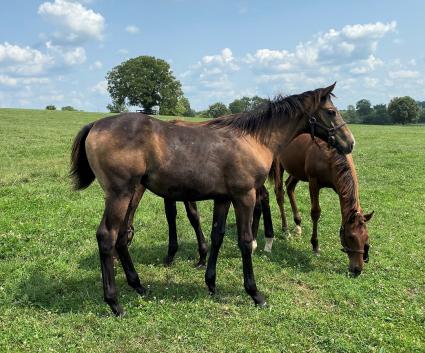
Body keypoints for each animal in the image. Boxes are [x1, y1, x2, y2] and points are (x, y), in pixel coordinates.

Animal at [70, 84, 354, 314]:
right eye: (331, 112)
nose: (350, 143)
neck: (253, 139)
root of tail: (95, 125)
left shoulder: (223, 198)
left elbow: (217, 235)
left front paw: (211, 283)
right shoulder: (244, 196)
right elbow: (244, 241)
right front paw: (255, 293)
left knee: (120, 236)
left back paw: (138, 285)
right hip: (120, 194)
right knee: (107, 236)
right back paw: (114, 302)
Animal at [266, 133, 372, 274]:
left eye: (366, 237)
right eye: (350, 237)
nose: (357, 270)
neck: (329, 156)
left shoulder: (338, 186)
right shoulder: (313, 182)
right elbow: (315, 212)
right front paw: (315, 245)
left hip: (296, 170)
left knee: (289, 187)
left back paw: (298, 225)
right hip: (279, 165)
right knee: (279, 194)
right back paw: (286, 229)